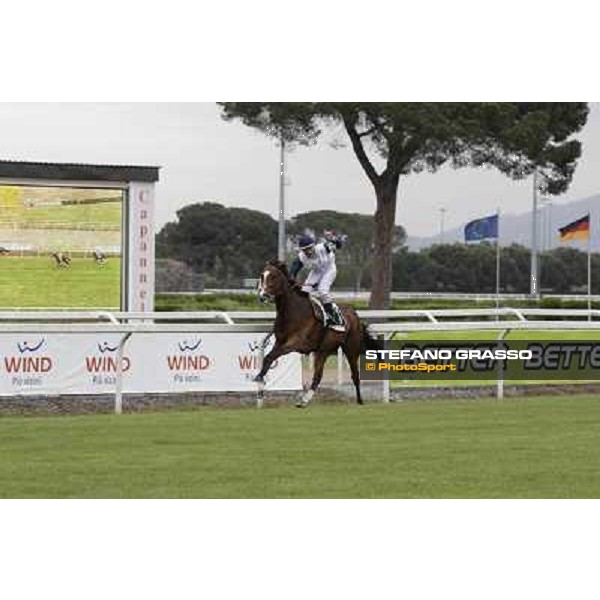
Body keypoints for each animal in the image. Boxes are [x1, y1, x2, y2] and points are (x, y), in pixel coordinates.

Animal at [253, 258, 380, 408]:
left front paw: (259, 379)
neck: (292, 312)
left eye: (274, 276)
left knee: (355, 375)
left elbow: (271, 356)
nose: (263, 296)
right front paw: (260, 379)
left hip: (351, 349)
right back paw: (304, 400)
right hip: (322, 351)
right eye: (262, 276)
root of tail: (354, 314)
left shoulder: (296, 343)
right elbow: (268, 357)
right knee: (318, 376)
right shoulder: (280, 342)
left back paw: (360, 400)